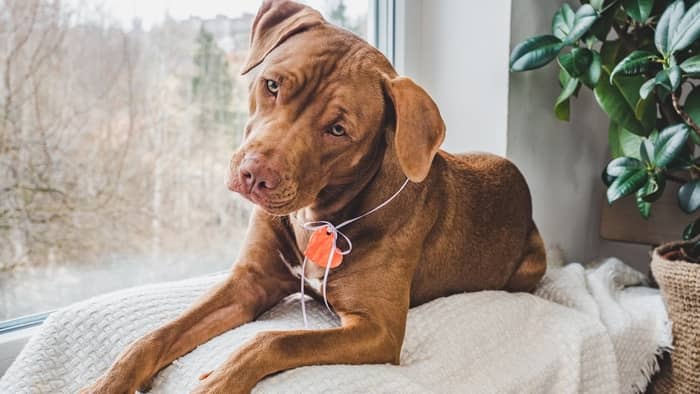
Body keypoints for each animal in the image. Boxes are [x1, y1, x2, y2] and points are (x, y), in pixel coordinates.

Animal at [82, 1, 548, 392]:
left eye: (338, 129)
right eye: (271, 85)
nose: (254, 174)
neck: (318, 217)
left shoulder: (377, 329)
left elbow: (273, 340)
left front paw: (219, 381)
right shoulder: (249, 282)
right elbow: (156, 335)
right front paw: (107, 383)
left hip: (531, 264)